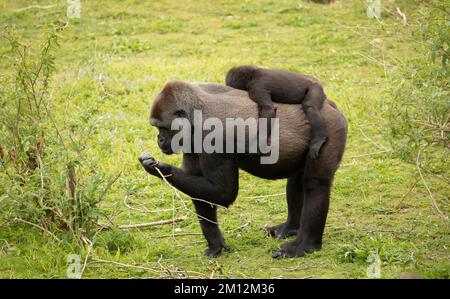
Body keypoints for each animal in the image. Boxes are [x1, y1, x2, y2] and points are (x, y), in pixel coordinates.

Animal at [139, 81, 346, 258]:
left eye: (164, 127)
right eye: (156, 127)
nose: (160, 140)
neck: (194, 113)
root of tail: (330, 105)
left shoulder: (214, 136)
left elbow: (223, 192)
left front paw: (161, 169)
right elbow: (202, 193)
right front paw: (216, 245)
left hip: (330, 128)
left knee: (315, 185)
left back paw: (305, 245)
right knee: (296, 180)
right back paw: (290, 228)